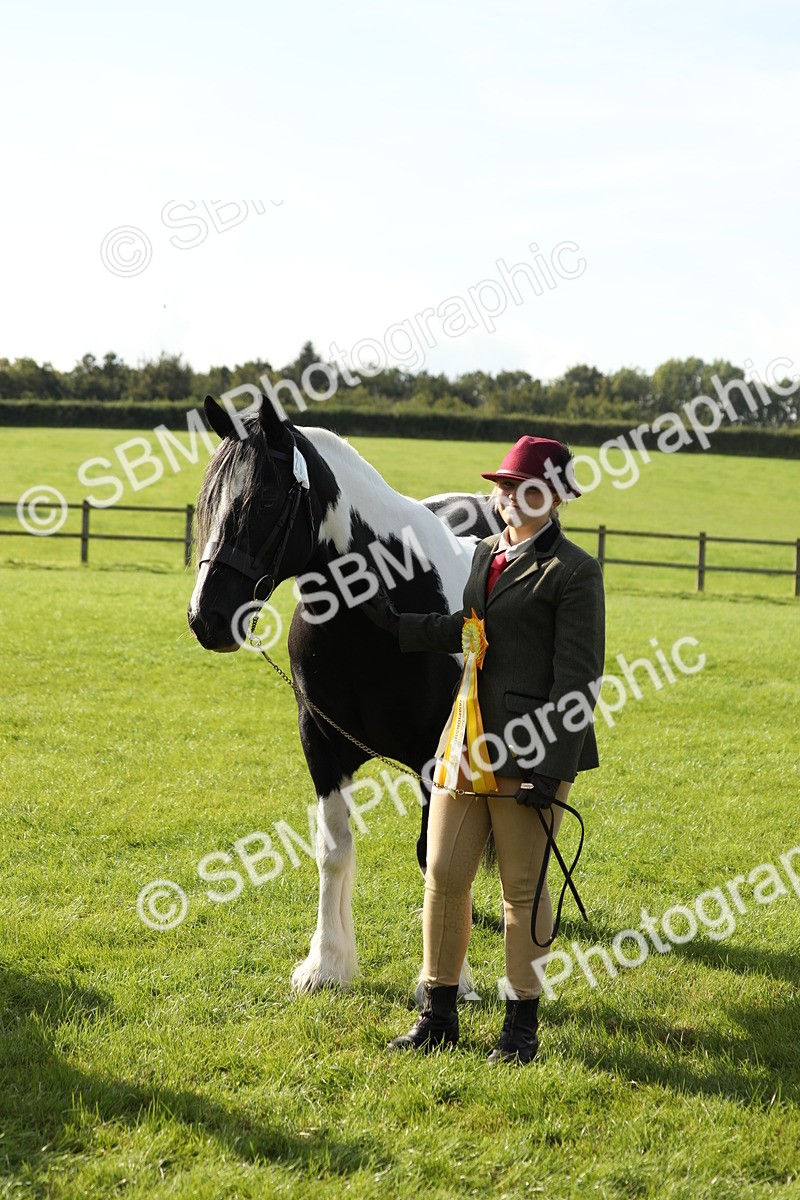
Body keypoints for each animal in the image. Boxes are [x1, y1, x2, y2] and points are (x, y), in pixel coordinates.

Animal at [187, 395, 499, 994]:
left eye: (263, 499)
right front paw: (326, 964)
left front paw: (450, 979)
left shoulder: (438, 758)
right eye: (208, 501)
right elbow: (334, 851)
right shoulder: (322, 747)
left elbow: (439, 856)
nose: (205, 617)